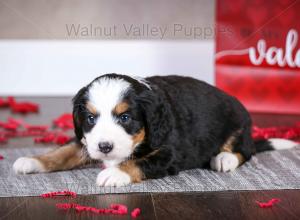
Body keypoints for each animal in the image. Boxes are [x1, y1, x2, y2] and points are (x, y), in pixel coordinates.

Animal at [12, 73, 298, 186]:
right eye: (91, 118)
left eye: (125, 117)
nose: (105, 147)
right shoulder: (86, 140)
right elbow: (64, 152)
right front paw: (33, 161)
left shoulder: (168, 154)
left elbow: (138, 162)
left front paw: (114, 174)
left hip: (238, 120)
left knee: (244, 150)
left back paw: (224, 158)